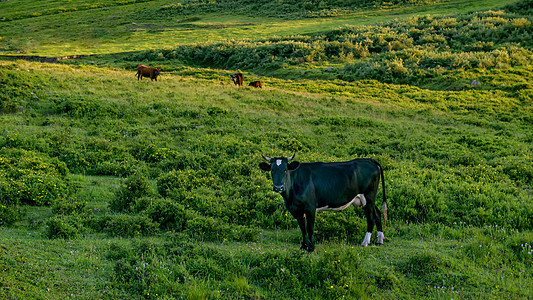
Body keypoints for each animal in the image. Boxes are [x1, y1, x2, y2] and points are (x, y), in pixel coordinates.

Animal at [258, 154, 386, 252]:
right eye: (272, 170)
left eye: (285, 170)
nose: (278, 187)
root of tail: (370, 160)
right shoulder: (296, 210)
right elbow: (302, 228)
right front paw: (303, 247)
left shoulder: (310, 208)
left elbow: (309, 228)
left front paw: (311, 248)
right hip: (369, 200)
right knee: (378, 214)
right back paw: (379, 241)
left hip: (368, 197)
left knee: (371, 218)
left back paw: (365, 242)